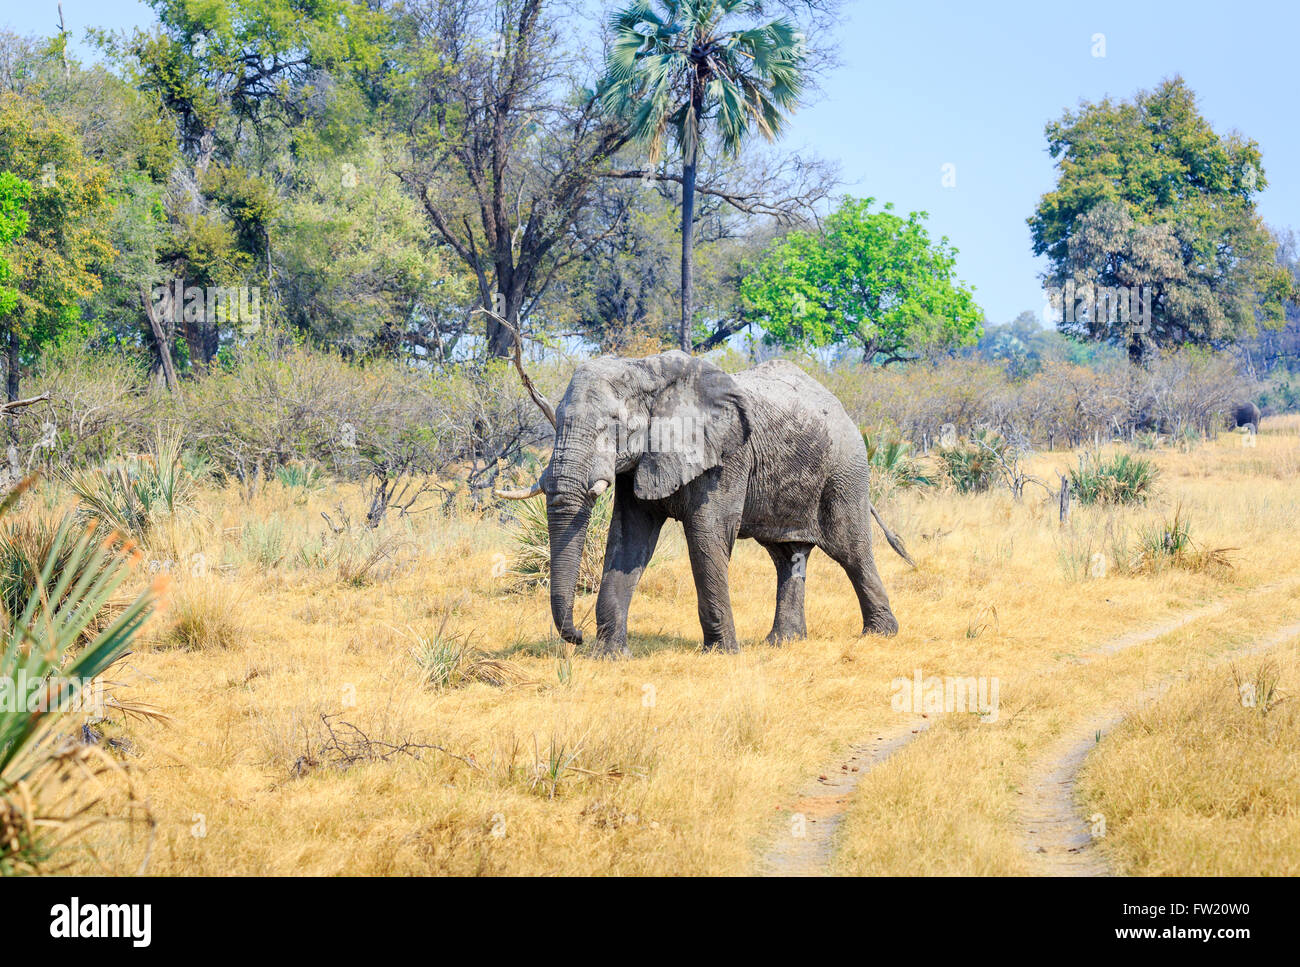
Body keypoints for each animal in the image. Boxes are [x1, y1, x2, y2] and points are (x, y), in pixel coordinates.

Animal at [493, 350, 915, 660]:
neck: (646, 371)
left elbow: (707, 537)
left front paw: (722, 654)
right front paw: (608, 657)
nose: (576, 636)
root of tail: (841, 407)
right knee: (787, 556)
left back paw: (880, 635)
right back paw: (784, 642)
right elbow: (628, 541)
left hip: (846, 472)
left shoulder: (727, 457)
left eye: (612, 424)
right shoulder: (640, 463)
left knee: (851, 549)